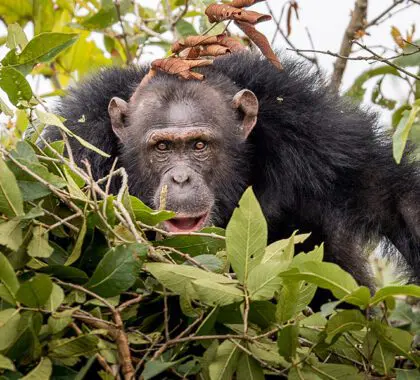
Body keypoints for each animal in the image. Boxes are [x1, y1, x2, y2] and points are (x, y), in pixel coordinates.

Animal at [44, 50, 420, 288]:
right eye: (162, 148)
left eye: (199, 146)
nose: (181, 177)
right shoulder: (75, 145)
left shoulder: (315, 130)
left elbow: (389, 198)